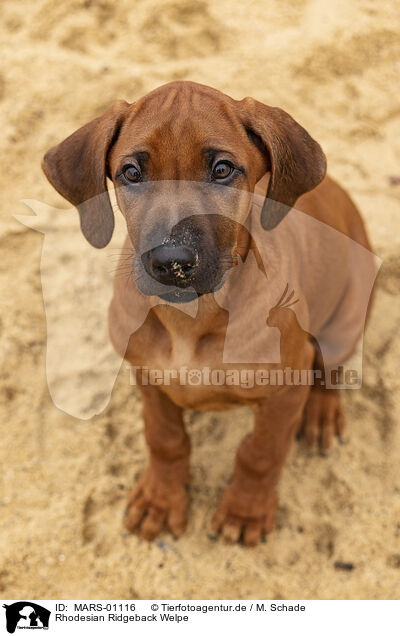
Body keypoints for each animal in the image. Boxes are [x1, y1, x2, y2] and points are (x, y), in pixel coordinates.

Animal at [42, 80, 374, 548]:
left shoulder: (285, 390)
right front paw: (161, 500)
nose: (171, 262)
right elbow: (165, 439)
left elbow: (261, 452)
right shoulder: (148, 377)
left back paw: (322, 413)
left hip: (346, 317)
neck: (193, 317)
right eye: (131, 173)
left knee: (332, 367)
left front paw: (245, 510)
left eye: (222, 169)